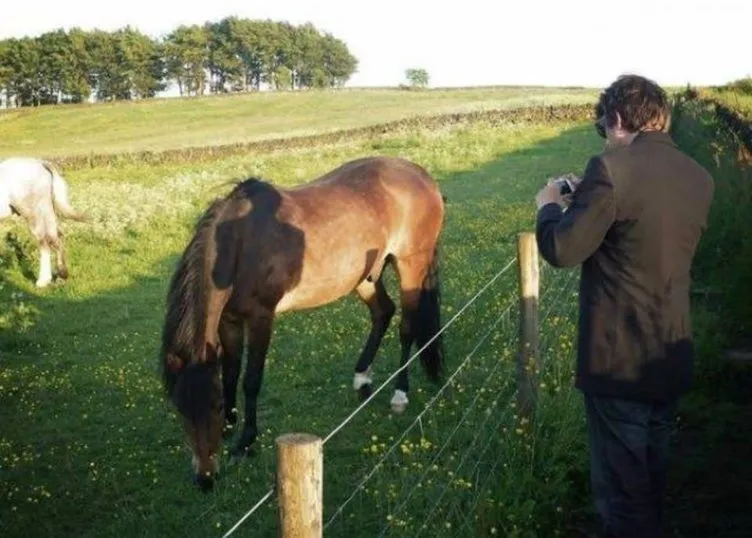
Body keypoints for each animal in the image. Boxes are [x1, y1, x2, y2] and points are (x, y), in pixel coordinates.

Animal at [0, 157, 87, 286]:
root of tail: (41, 163)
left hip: (33, 212)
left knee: (44, 240)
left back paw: (43, 281)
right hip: (46, 209)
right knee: (55, 237)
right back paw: (61, 276)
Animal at [156, 156, 444, 490]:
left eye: (213, 406)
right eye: (180, 410)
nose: (205, 479)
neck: (240, 244)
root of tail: (421, 175)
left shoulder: (261, 318)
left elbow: (250, 380)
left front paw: (245, 442)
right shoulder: (229, 322)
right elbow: (229, 375)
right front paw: (231, 427)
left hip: (411, 264)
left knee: (406, 328)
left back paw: (399, 393)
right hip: (364, 275)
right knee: (383, 312)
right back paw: (362, 378)